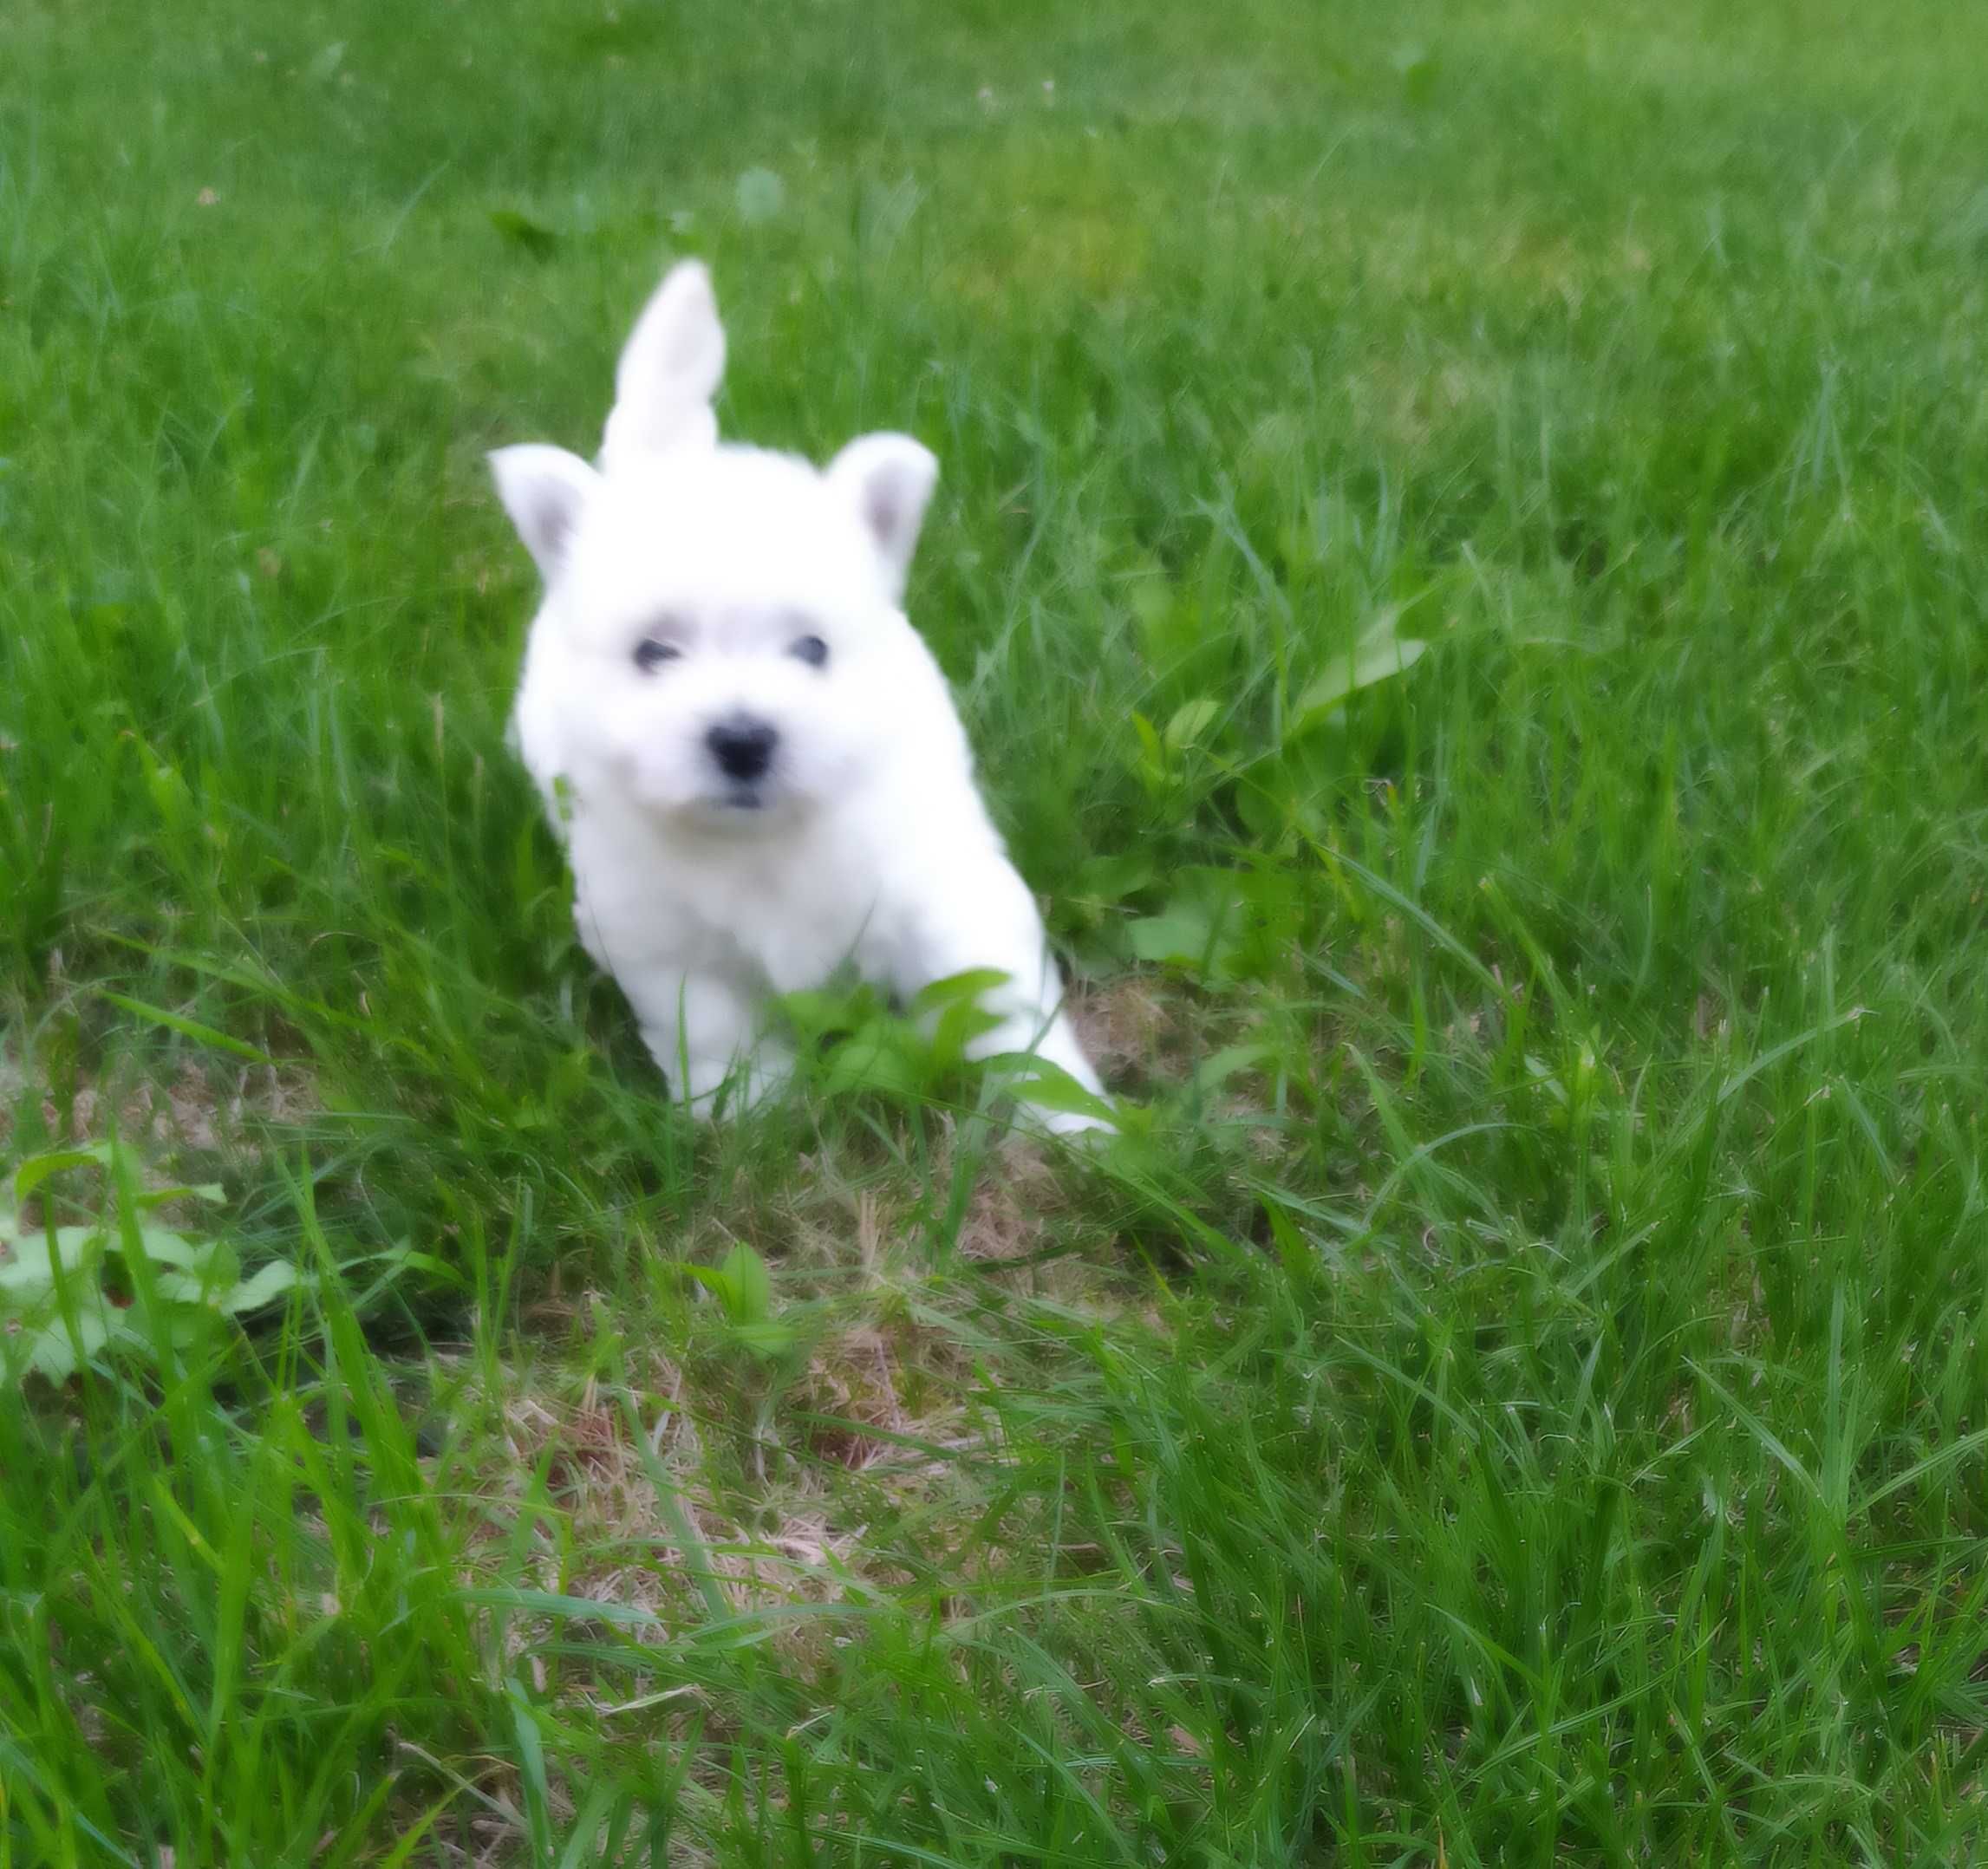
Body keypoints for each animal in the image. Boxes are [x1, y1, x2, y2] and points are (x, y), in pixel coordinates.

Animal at [480, 264, 1105, 1129]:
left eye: (812, 649)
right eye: (652, 654)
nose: (743, 739)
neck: (763, 843)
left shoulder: (946, 895)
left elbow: (1004, 1015)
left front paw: (1075, 1123)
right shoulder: (666, 946)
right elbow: (711, 1031)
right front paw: (748, 1117)